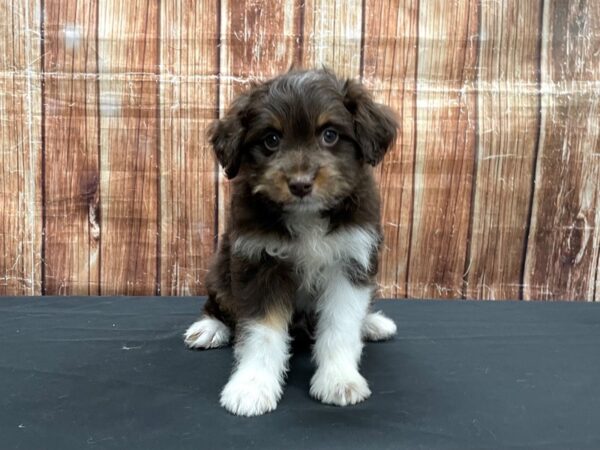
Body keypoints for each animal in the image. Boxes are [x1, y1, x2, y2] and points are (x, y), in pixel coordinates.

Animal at [183, 68, 398, 416]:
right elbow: (261, 333)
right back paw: (211, 328)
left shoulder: (350, 261)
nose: (300, 184)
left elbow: (341, 325)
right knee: (220, 304)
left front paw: (339, 379)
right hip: (220, 271)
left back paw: (373, 324)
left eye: (330, 135)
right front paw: (252, 386)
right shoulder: (259, 262)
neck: (306, 216)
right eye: (271, 139)